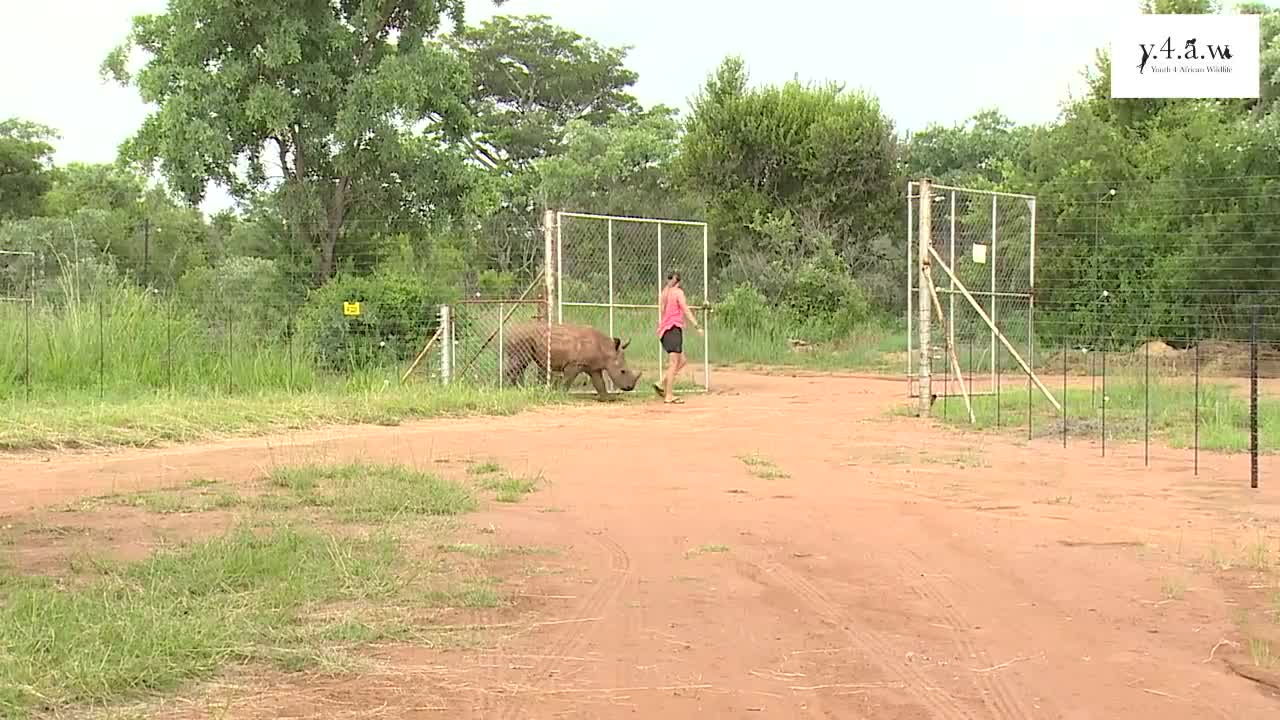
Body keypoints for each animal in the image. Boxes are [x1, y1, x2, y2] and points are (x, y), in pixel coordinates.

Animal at [503, 322, 641, 400]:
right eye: (622, 371)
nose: (630, 388)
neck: (607, 349)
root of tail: (509, 332)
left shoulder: (594, 368)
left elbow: (599, 383)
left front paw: (607, 398)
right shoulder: (574, 364)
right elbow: (567, 381)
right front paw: (560, 395)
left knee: (521, 366)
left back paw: (518, 390)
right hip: (521, 338)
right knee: (519, 364)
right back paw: (512, 389)